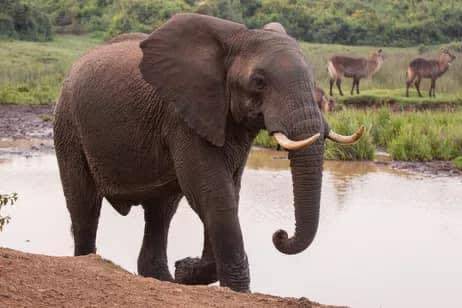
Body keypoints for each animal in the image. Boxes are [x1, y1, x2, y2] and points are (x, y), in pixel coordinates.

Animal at [54, 14, 362, 292]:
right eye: (259, 81)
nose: (280, 234)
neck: (234, 40)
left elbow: (228, 191)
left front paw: (186, 270)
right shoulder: (181, 114)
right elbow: (212, 191)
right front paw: (227, 286)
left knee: (160, 212)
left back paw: (164, 279)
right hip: (68, 123)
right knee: (84, 203)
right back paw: (89, 260)